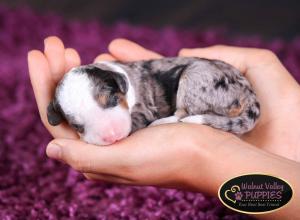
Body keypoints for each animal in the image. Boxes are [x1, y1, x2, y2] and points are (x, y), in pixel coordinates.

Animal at [46, 57, 260, 145]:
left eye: (114, 100)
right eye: (76, 126)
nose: (112, 137)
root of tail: (249, 94)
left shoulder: (143, 110)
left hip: (193, 78)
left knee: (182, 115)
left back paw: (160, 123)